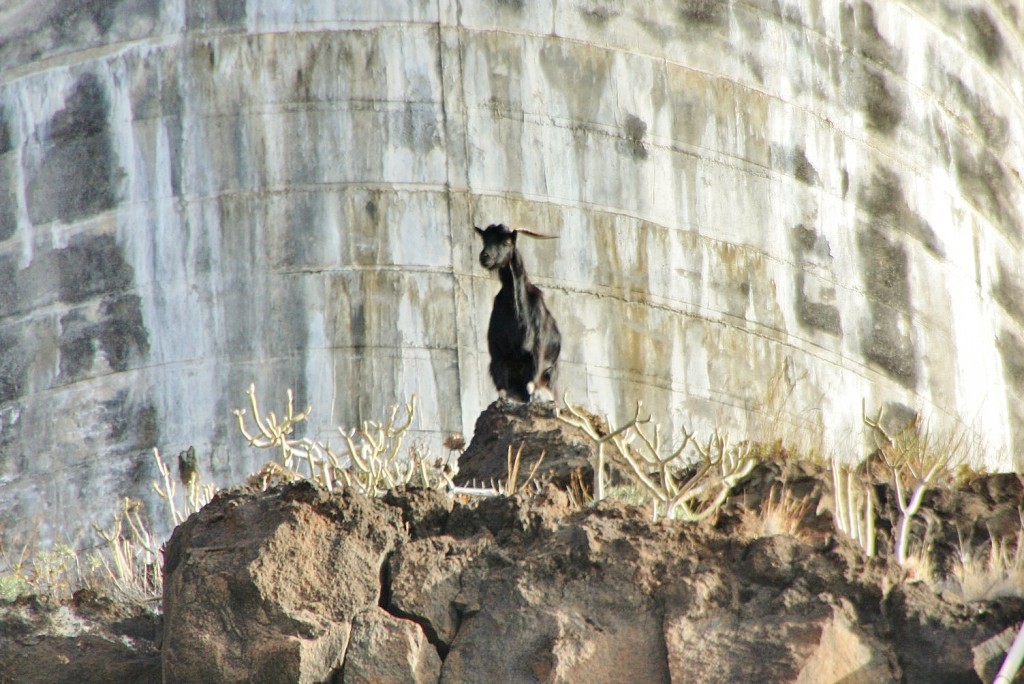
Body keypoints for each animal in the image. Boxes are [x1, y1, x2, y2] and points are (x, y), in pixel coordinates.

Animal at [475, 223, 561, 402]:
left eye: (507, 241)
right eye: (485, 239)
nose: (484, 256)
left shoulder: (536, 354)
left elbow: (530, 388)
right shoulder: (498, 356)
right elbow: (503, 390)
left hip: (551, 373)